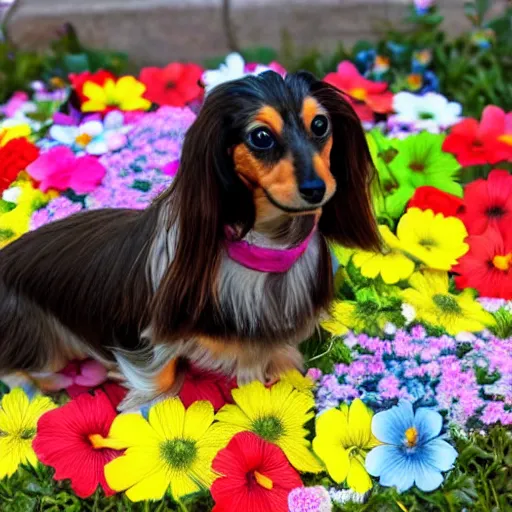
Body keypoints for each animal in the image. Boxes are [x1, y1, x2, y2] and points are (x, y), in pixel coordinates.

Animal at [0, 70, 380, 410]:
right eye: (260, 136)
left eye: (320, 125)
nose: (316, 189)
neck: (265, 246)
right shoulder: (152, 340)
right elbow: (161, 377)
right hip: (36, 338)